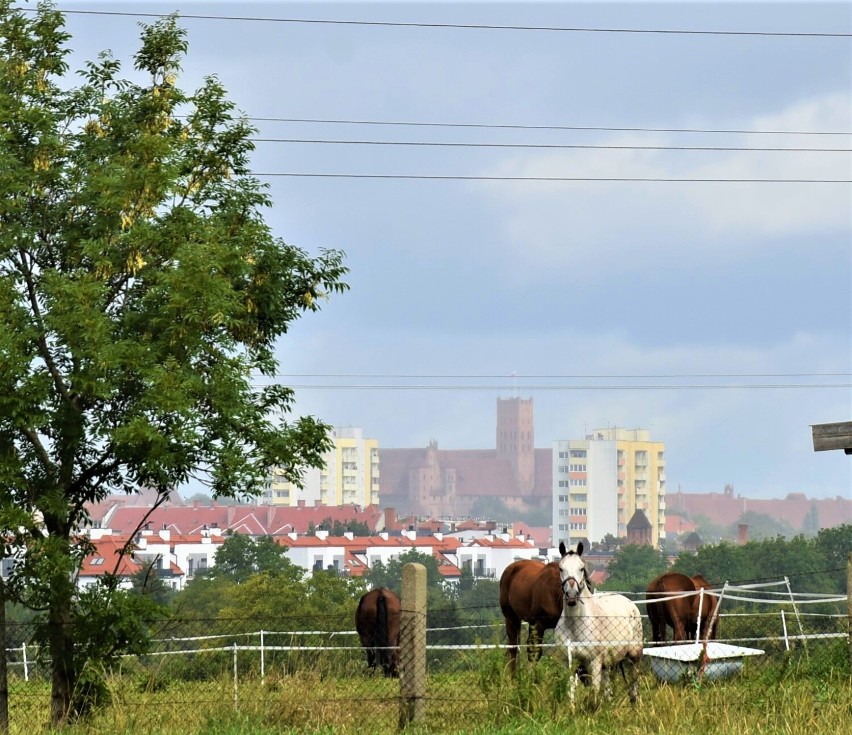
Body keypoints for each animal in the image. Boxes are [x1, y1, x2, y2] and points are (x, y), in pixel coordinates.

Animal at [556, 540, 644, 708]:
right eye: (561, 568)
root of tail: (630, 603)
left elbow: (595, 690)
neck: (575, 625)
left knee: (633, 685)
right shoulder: (568, 663)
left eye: (581, 568)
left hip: (633, 657)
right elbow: (570, 691)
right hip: (609, 663)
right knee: (609, 687)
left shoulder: (594, 662)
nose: (571, 596)